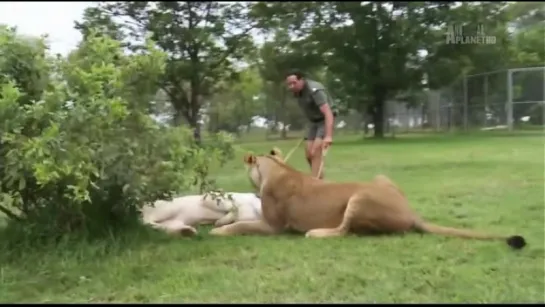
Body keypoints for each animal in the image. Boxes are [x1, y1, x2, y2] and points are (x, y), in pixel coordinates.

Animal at [207, 149, 524, 250]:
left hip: (359, 197)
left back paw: (316, 233)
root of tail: (411, 212)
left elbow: (242, 225)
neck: (276, 168)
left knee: (345, 231)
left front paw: (219, 231)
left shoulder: (274, 227)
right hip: (380, 178)